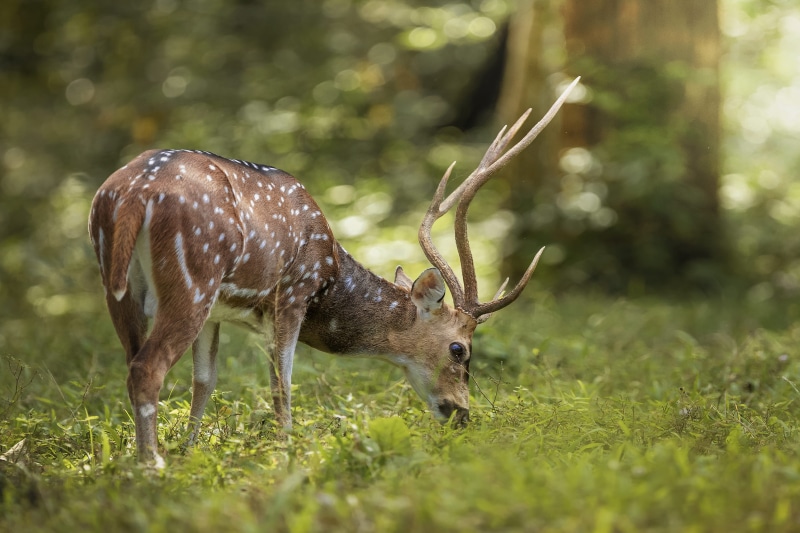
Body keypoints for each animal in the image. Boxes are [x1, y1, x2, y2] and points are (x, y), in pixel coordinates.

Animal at [88, 78, 579, 467]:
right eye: (460, 349)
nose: (461, 414)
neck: (331, 274)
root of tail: (132, 193)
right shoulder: (292, 291)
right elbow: (282, 383)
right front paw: (286, 452)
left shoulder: (220, 312)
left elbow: (204, 382)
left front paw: (190, 452)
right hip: (193, 277)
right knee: (147, 367)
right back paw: (151, 466)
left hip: (121, 286)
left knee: (132, 361)